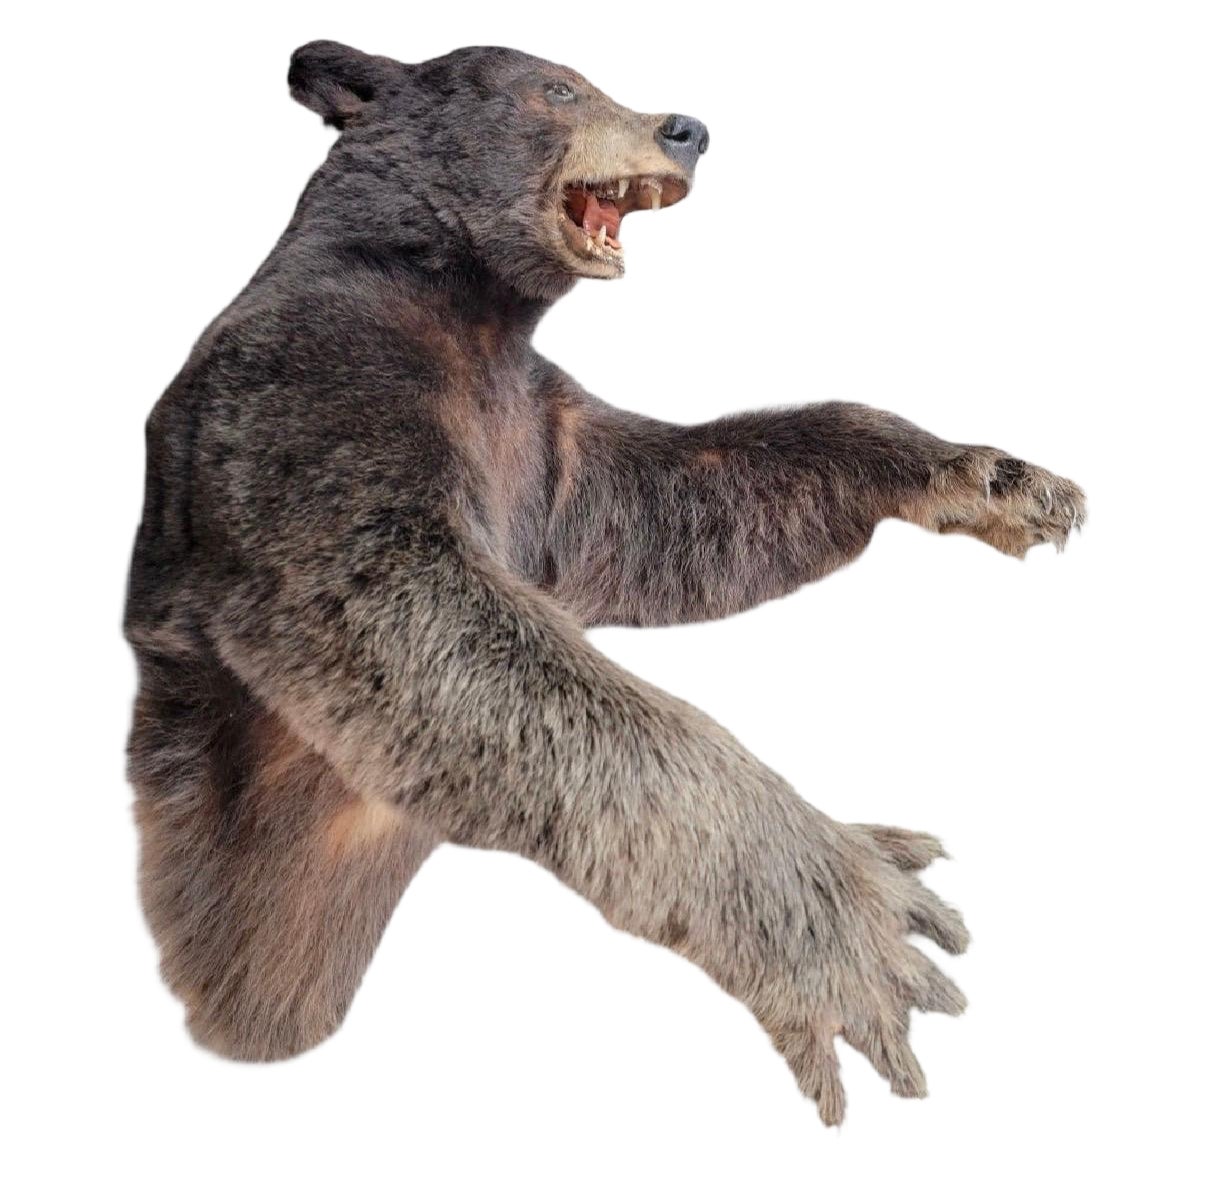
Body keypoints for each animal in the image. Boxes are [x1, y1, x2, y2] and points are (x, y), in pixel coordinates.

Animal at [124, 40, 1085, 1126]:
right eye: (558, 87)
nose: (689, 127)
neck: (471, 303)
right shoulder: (307, 384)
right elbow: (417, 619)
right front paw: (848, 918)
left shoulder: (551, 438)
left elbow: (690, 503)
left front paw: (995, 480)